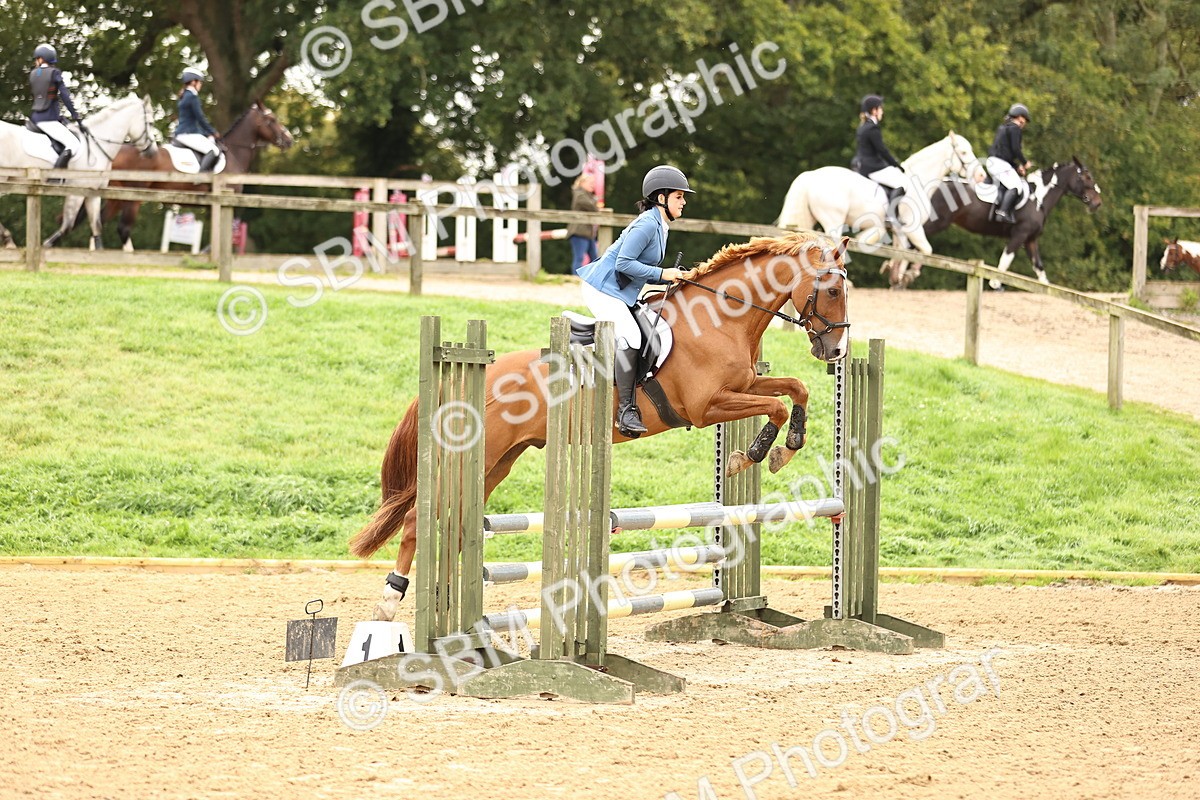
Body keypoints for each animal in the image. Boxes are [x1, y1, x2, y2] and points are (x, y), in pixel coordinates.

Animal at [0, 94, 158, 250]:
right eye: (150, 123)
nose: (153, 152)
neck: (96, 145)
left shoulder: (93, 192)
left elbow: (96, 226)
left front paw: (98, 251)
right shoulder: (77, 191)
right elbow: (68, 225)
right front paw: (46, 245)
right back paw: (8, 241)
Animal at [95, 102, 293, 251]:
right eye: (272, 120)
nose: (289, 140)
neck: (234, 152)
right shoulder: (227, 201)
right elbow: (224, 231)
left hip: (116, 196)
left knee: (100, 221)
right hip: (132, 196)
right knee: (123, 228)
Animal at [349, 231, 851, 620]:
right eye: (831, 291)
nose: (836, 352)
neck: (719, 321)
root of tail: (467, 370)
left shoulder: (744, 384)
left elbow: (796, 390)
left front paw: (784, 447)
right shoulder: (707, 406)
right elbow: (776, 407)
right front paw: (753, 456)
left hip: (498, 462)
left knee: (454, 523)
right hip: (478, 453)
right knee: (417, 519)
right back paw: (391, 602)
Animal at [776, 133, 986, 255]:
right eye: (964, 152)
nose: (981, 175)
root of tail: (810, 175)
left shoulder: (896, 231)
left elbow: (897, 251)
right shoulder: (914, 228)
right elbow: (926, 251)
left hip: (811, 219)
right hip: (833, 220)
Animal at [887, 157, 1102, 289]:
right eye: (1087, 177)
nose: (1097, 203)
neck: (1038, 198)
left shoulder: (1031, 239)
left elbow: (1039, 267)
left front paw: (1047, 290)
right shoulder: (1019, 235)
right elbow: (1006, 259)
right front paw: (996, 284)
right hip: (937, 222)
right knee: (911, 240)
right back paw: (898, 272)